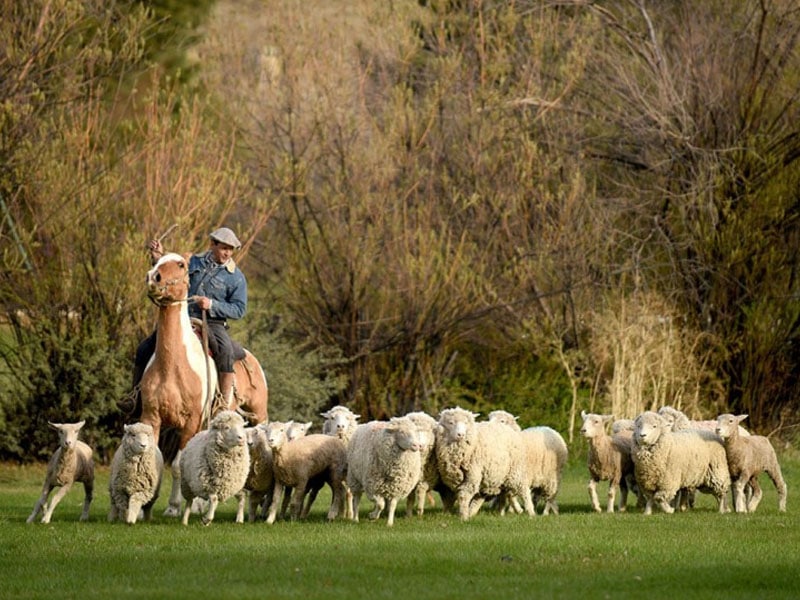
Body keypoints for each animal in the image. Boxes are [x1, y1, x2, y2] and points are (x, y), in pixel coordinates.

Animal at [141, 253, 268, 516]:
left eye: (181, 264)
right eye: (157, 259)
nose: (153, 278)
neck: (173, 365)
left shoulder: (190, 421)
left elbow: (178, 464)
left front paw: (173, 507)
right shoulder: (151, 417)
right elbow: (153, 458)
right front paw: (142, 507)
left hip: (259, 414)